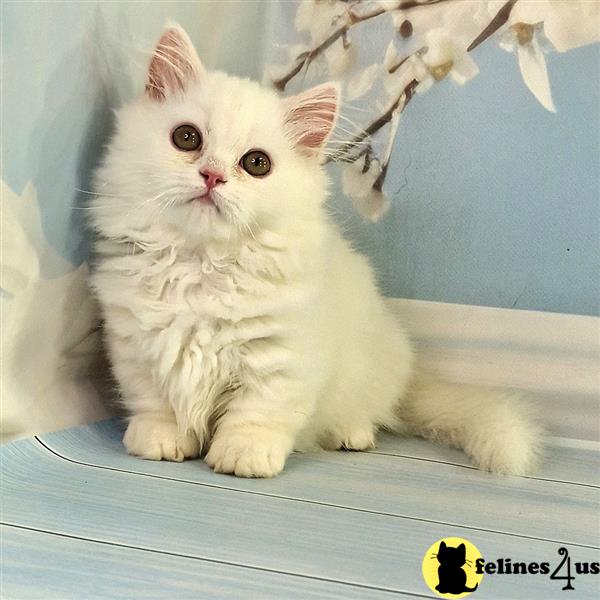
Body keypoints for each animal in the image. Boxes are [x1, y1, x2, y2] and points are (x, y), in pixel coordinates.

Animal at [90, 24, 544, 478]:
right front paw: (160, 439)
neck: (204, 265)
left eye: (256, 164)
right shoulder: (135, 346)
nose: (212, 176)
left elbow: (257, 414)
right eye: (187, 138)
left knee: (369, 411)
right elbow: (156, 402)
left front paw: (244, 455)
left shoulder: (281, 357)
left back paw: (352, 434)